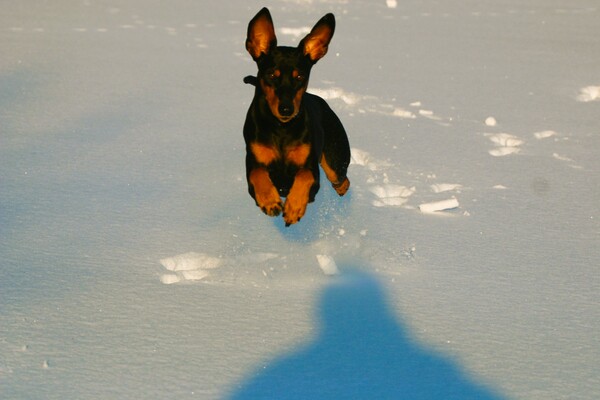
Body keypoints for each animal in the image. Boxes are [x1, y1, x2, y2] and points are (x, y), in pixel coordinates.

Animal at [241, 7, 350, 225]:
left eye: (300, 76)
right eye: (271, 75)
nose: (286, 109)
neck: (281, 128)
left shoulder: (312, 176)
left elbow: (305, 176)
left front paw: (294, 208)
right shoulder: (253, 166)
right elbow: (258, 173)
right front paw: (270, 201)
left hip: (336, 159)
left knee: (342, 180)